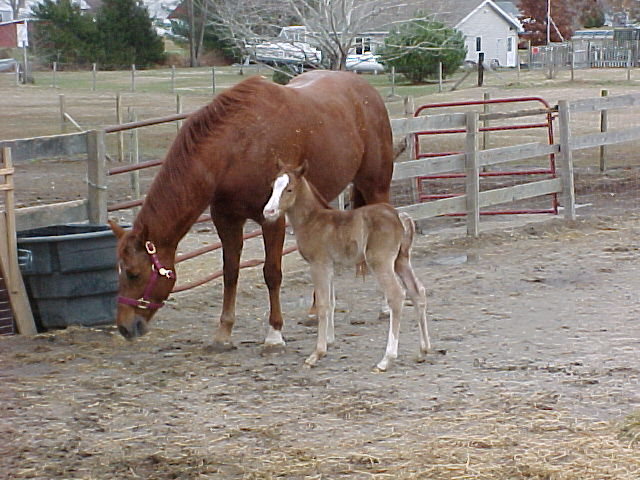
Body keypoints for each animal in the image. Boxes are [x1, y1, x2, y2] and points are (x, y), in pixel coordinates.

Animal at [109, 70, 396, 348]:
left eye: (134, 274)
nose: (124, 327)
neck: (238, 146)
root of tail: (366, 90)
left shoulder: (272, 220)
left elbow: (271, 273)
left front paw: (274, 333)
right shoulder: (226, 219)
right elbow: (230, 272)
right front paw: (223, 333)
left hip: (375, 187)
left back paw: (385, 306)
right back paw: (316, 311)